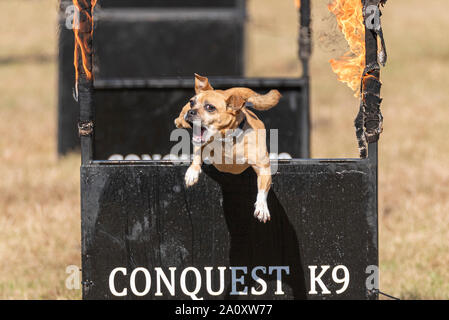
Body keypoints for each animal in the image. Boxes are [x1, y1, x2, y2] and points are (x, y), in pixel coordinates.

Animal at [174, 74, 280, 222]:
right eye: (192, 102)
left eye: (210, 107)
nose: (190, 111)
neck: (226, 139)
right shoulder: (201, 144)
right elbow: (198, 154)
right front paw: (192, 172)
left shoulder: (263, 167)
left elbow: (263, 190)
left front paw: (262, 207)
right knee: (179, 122)